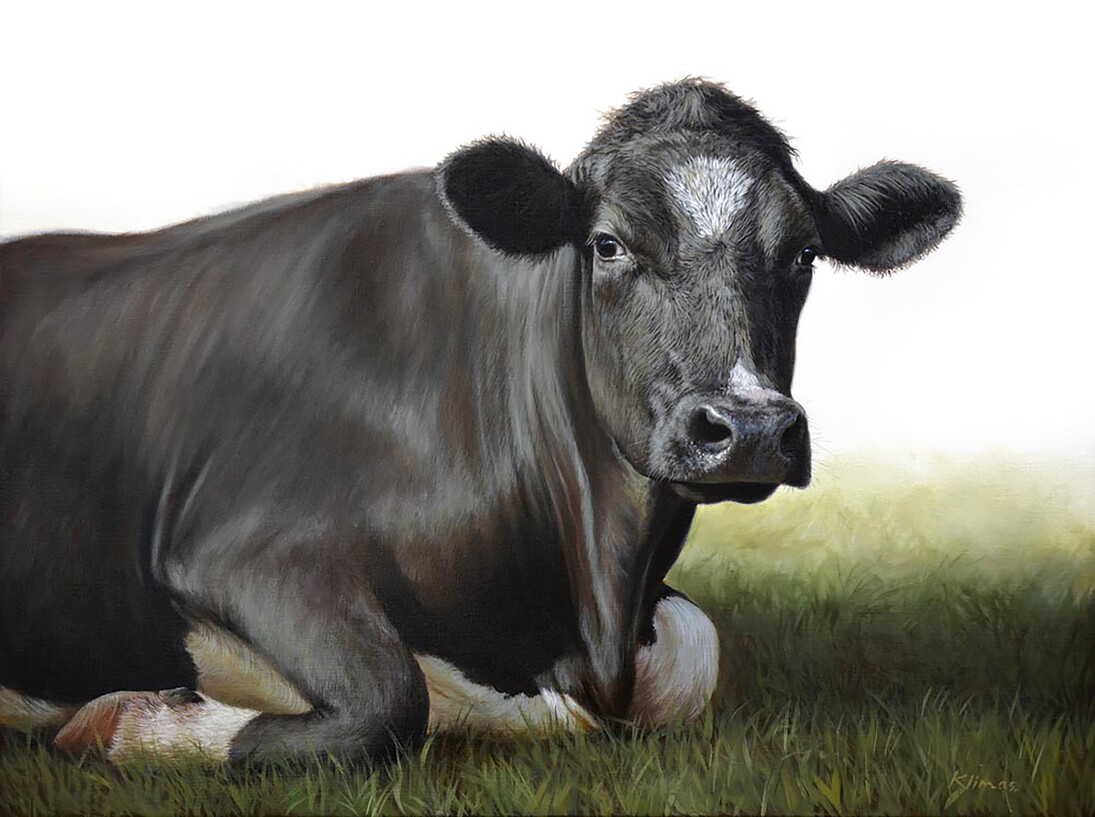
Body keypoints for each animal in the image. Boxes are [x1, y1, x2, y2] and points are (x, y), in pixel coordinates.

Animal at [0, 79, 961, 764]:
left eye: (803, 254)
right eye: (608, 243)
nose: (750, 426)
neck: (591, 608)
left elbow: (695, 653)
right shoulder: (232, 551)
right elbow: (390, 701)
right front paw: (138, 724)